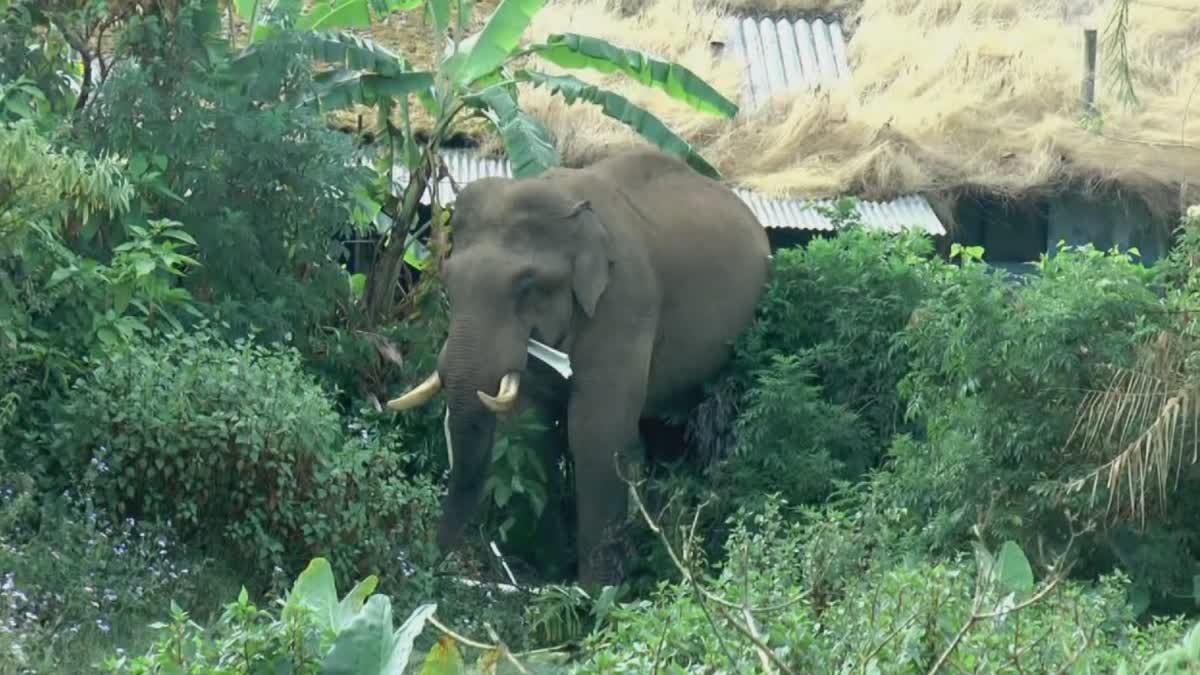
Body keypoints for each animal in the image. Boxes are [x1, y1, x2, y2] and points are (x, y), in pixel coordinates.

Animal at [388, 147, 772, 588]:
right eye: (447, 282)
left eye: (526, 286)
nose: (430, 566)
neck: (568, 202)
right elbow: (534, 426)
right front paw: (551, 572)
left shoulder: (626, 301)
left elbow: (595, 431)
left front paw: (596, 593)